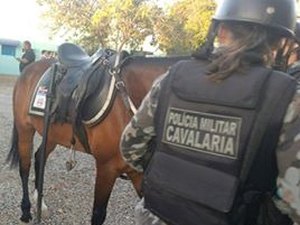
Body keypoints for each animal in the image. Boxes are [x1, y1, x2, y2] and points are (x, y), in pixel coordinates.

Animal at [6, 55, 185, 225]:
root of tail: (29, 68)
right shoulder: (107, 168)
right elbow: (98, 214)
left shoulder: (137, 173)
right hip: (25, 130)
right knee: (25, 167)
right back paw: (26, 210)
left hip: (51, 134)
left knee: (39, 159)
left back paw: (40, 205)